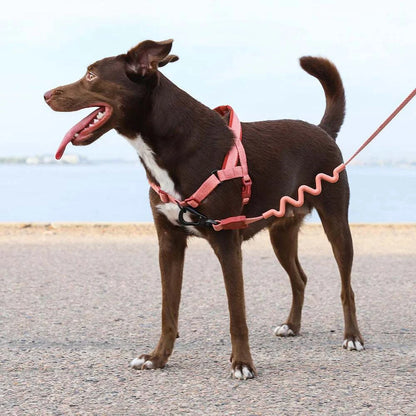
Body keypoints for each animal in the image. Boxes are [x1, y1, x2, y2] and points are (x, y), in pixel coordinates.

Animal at [45, 39, 362, 380]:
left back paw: (353, 336)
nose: (46, 95)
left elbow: (237, 313)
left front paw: (242, 363)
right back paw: (292, 325)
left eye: (91, 75)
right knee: (299, 278)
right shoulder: (169, 243)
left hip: (336, 223)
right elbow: (168, 310)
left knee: (346, 287)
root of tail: (322, 130)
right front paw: (158, 358)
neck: (172, 142)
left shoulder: (227, 241)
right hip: (281, 232)